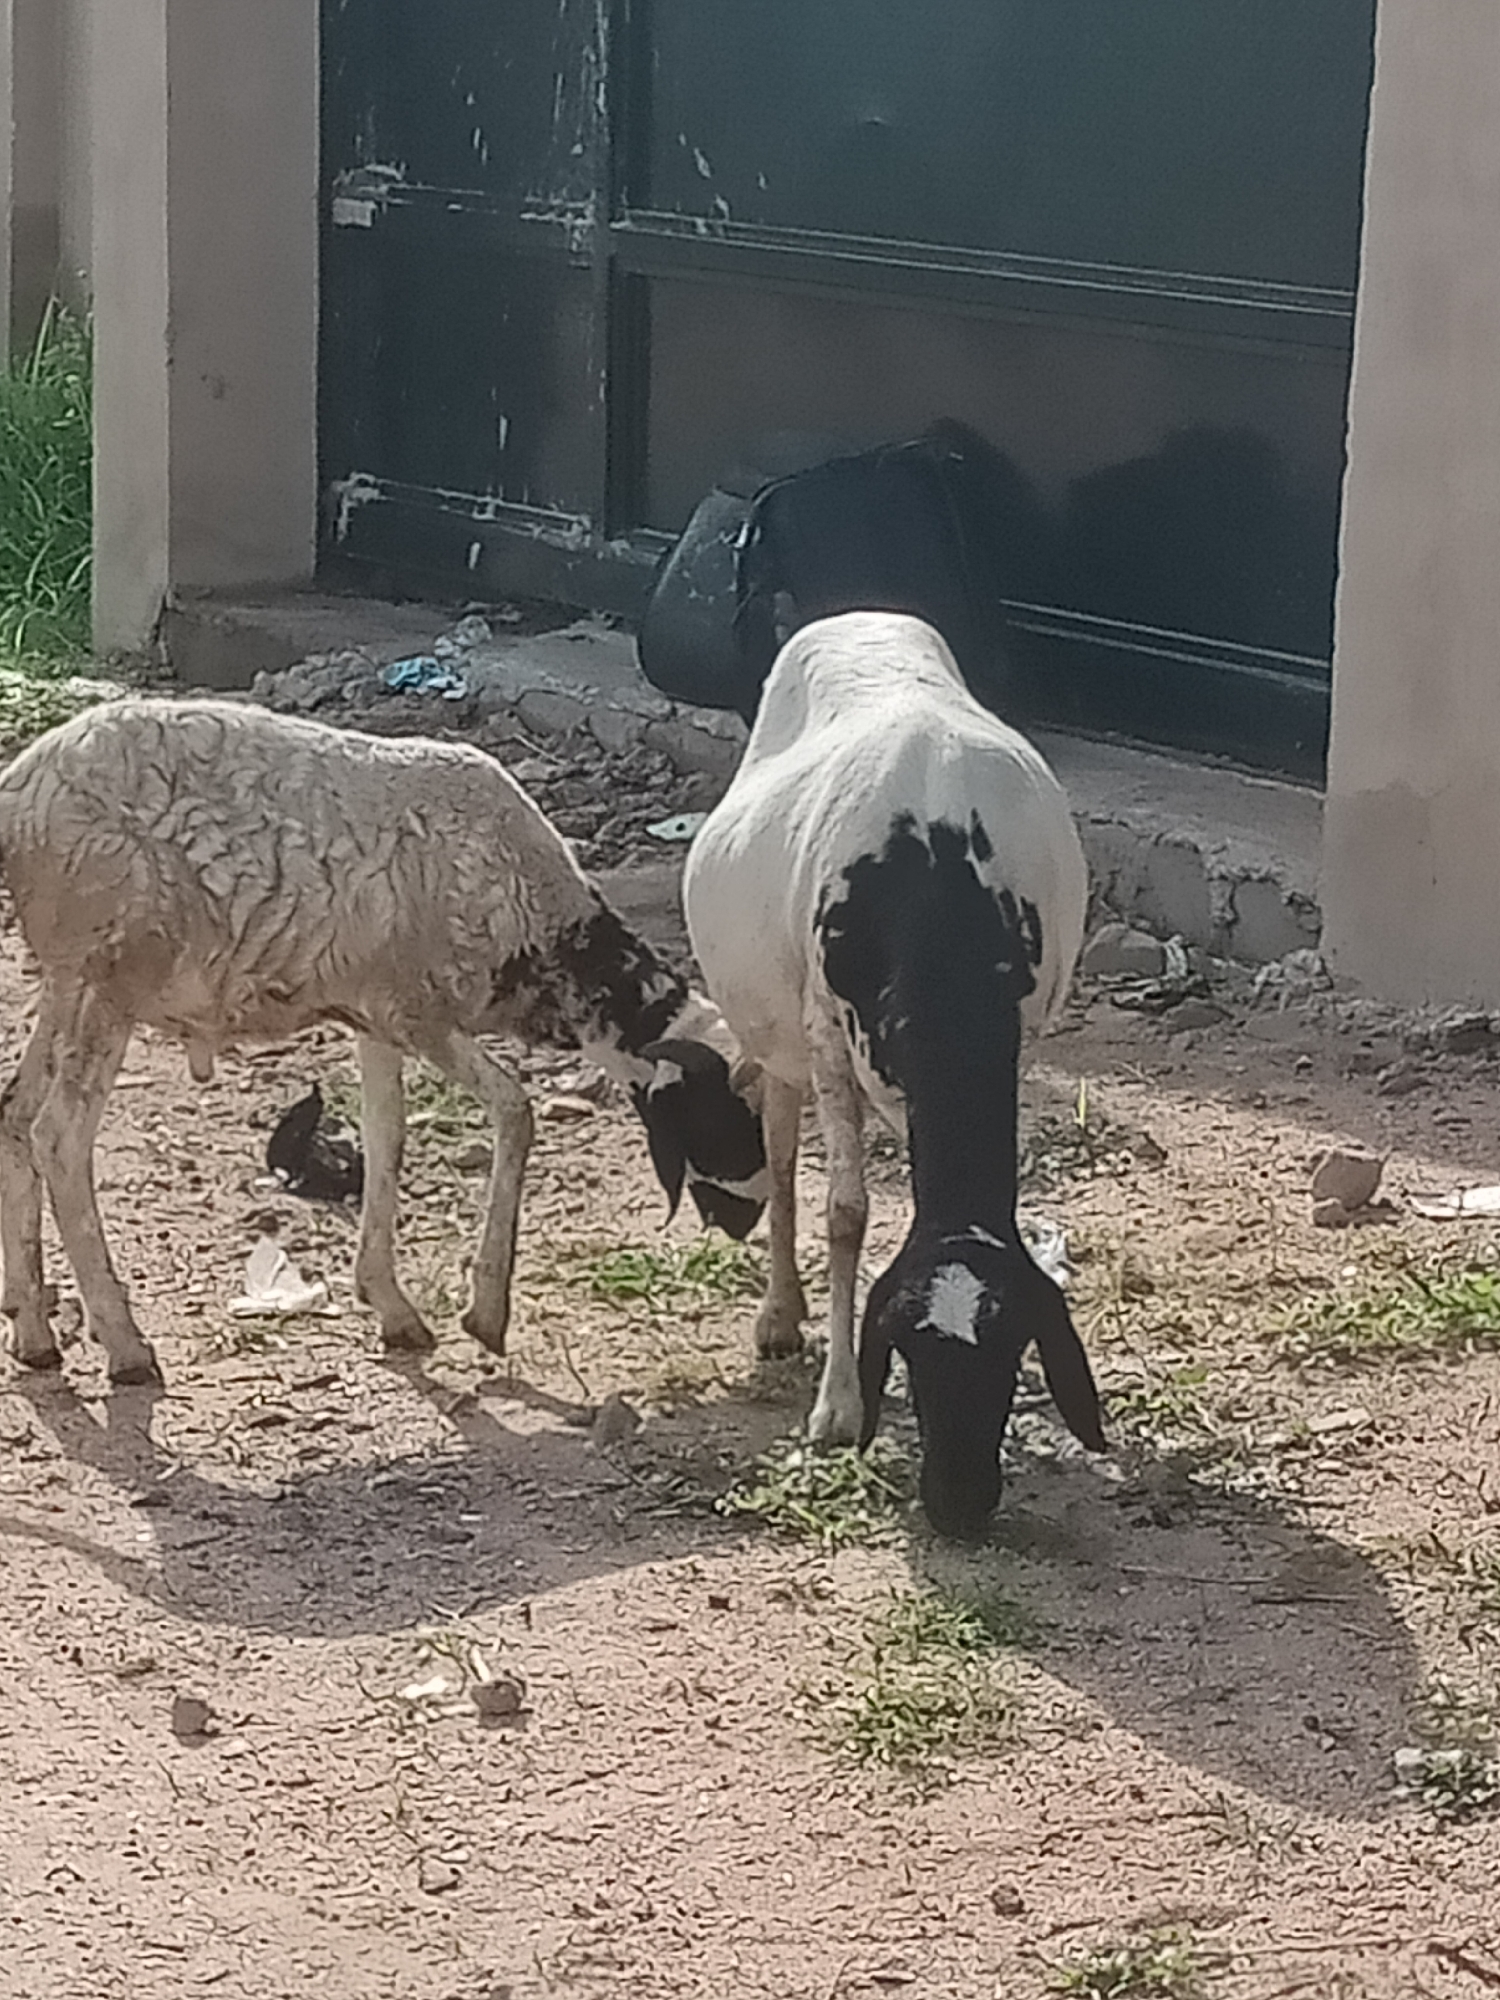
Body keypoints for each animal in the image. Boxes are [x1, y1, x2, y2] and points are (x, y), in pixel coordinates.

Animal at [0, 697, 766, 1386]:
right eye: (723, 1115)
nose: (746, 1221)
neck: (547, 932)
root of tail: (20, 794)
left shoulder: (373, 1018)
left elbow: (387, 1135)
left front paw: (389, 1303)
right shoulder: (417, 1015)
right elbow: (515, 1112)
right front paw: (485, 1314)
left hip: (71, 980)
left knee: (15, 1112)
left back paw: (34, 1330)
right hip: (114, 975)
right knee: (59, 1136)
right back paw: (124, 1346)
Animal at [682, 611, 1105, 1538]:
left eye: (1013, 1351)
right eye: (907, 1349)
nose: (958, 1505)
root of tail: (860, 615)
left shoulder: (1024, 1031)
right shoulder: (824, 1035)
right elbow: (845, 1214)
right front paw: (839, 1408)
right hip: (775, 1024)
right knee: (778, 1145)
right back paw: (779, 1314)